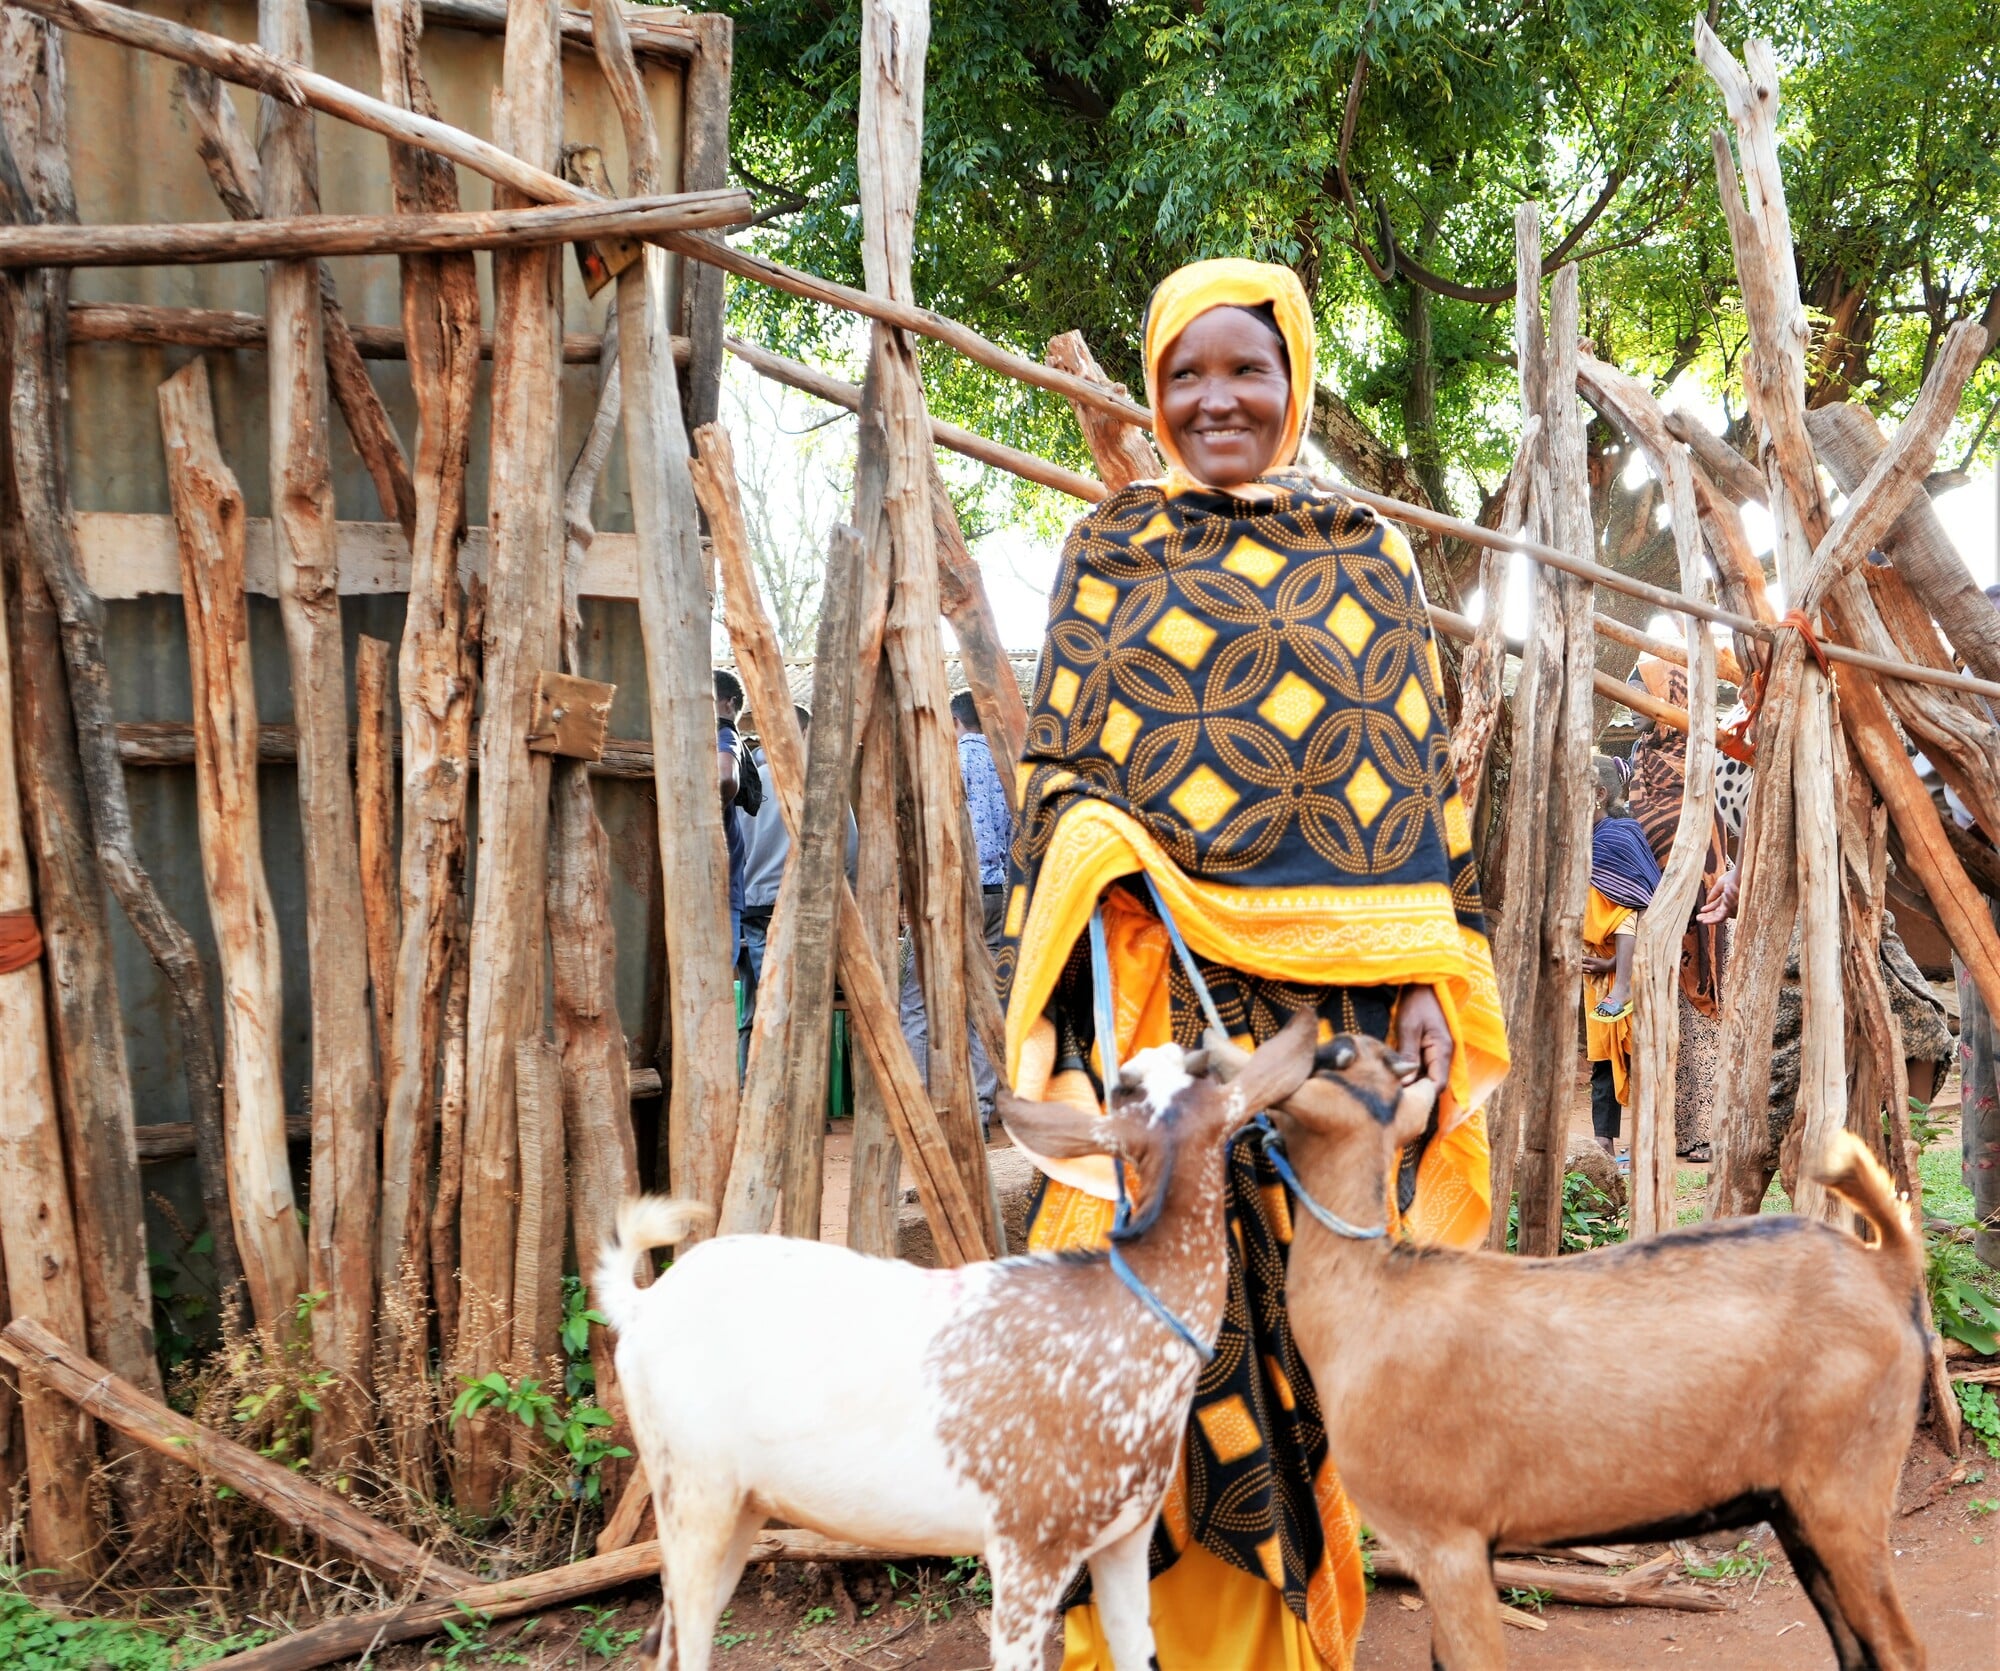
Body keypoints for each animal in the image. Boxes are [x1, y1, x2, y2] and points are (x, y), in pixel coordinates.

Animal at [588, 1003, 1312, 1671]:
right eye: (1133, 1084)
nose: (1154, 1052)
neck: (1126, 1324)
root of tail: (642, 1305)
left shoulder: (1123, 1536)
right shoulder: (1026, 1543)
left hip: (740, 1501)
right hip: (690, 1486)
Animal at [1216, 1039, 1920, 1663]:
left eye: (1334, 1054)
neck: (1376, 1298)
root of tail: (1888, 1265)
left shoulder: (1449, 1539)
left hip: (1845, 1486)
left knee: (1898, 1645)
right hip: (1797, 1502)